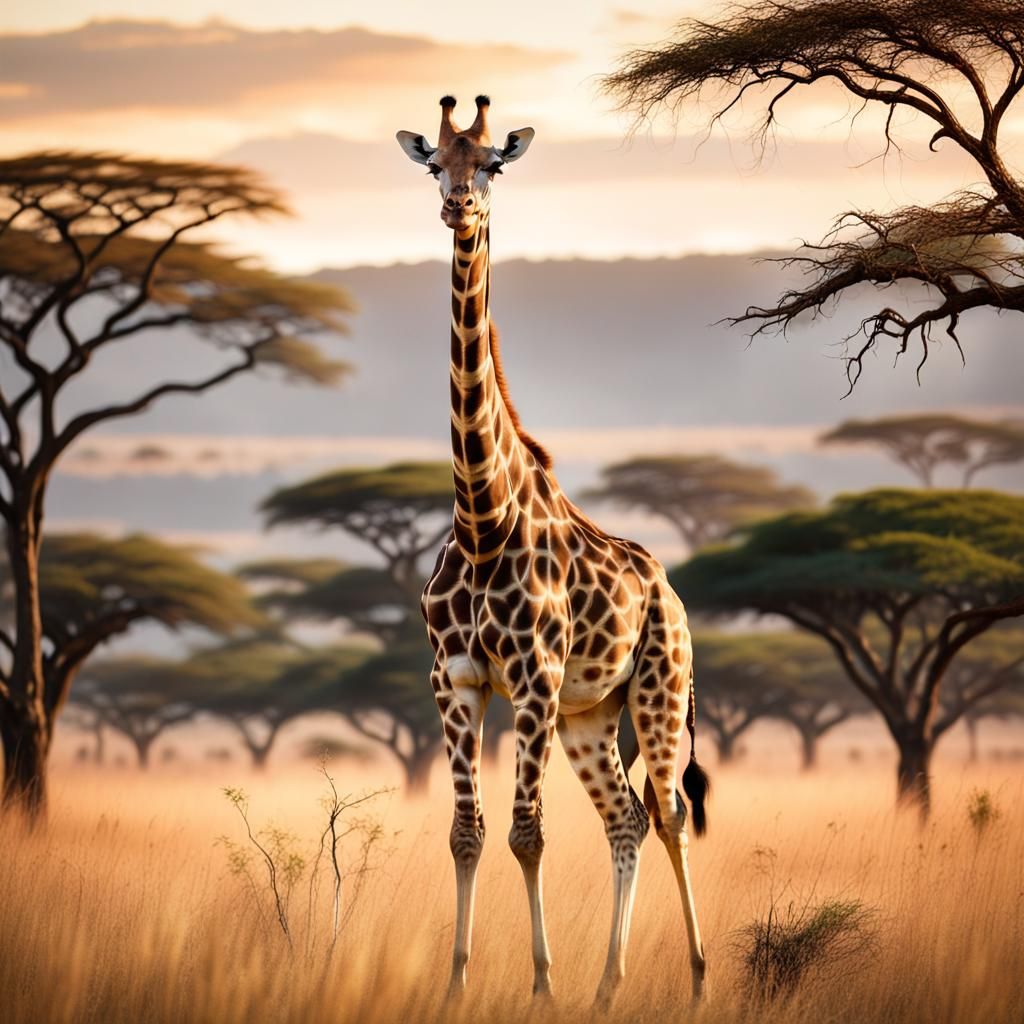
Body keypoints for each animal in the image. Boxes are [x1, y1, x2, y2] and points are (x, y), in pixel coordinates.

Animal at [396, 95, 710, 1008]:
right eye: (436, 165)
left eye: (493, 164)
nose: (459, 206)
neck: (481, 516)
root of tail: (669, 588)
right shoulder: (456, 680)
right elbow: (467, 831)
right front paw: (456, 986)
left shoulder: (531, 677)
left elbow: (527, 833)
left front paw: (540, 986)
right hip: (589, 715)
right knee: (626, 817)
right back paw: (607, 985)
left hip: (657, 687)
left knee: (671, 812)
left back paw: (697, 977)